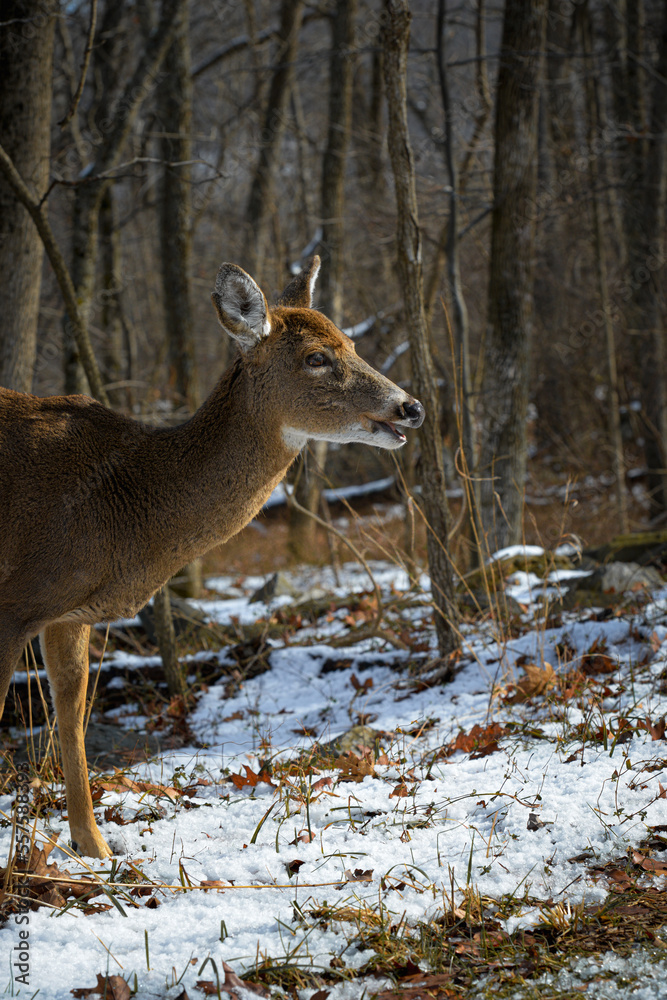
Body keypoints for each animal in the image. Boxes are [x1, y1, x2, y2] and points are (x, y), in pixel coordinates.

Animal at [0, 256, 424, 859]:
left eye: (351, 341)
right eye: (316, 357)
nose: (410, 406)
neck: (118, 509)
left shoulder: (68, 613)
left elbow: (72, 716)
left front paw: (95, 846)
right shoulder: (16, 600)